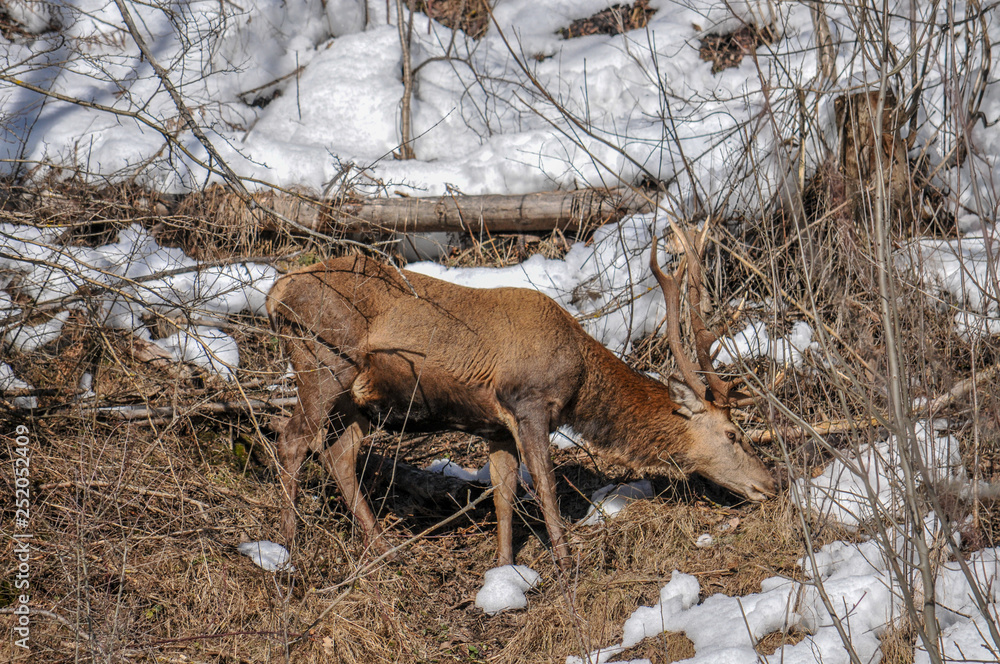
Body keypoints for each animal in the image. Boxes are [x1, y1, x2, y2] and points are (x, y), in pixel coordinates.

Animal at [266, 231, 775, 571]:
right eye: (734, 433)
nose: (770, 485)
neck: (579, 380)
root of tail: (276, 293)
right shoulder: (529, 403)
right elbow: (545, 485)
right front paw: (566, 562)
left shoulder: (495, 426)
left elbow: (504, 491)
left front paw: (505, 569)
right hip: (324, 359)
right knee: (293, 439)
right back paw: (287, 547)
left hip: (358, 398)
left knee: (338, 452)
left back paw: (384, 550)